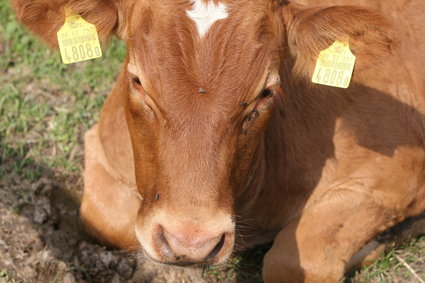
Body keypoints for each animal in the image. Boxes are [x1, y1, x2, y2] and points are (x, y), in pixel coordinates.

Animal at [12, 0, 424, 282]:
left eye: (266, 92)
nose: (190, 243)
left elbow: (292, 263)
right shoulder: (101, 146)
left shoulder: (393, 178)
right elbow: (104, 220)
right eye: (138, 80)